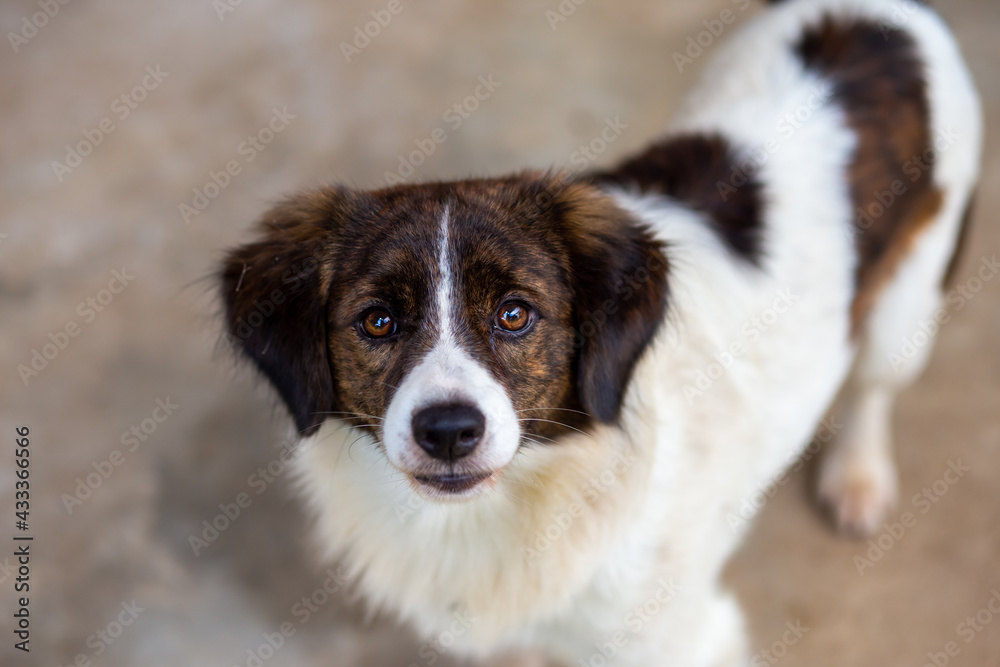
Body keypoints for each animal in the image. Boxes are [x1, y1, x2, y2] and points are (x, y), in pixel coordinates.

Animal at [221, 1, 984, 667]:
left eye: (515, 313)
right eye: (377, 321)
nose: (448, 432)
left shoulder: (684, 638)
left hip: (907, 310)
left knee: (872, 388)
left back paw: (858, 474)